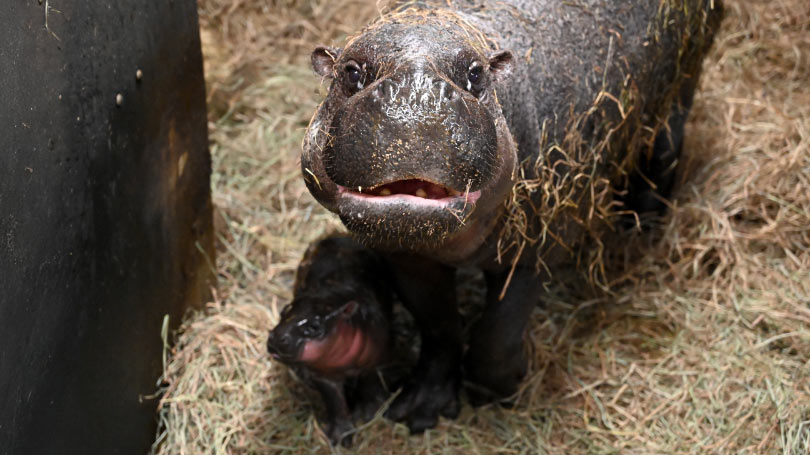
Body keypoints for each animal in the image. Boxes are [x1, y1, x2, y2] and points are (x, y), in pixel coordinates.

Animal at [266, 235, 392, 448]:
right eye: (284, 310)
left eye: (315, 326)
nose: (275, 337)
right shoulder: (322, 374)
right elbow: (335, 401)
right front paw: (339, 438)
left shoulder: (375, 358)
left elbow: (370, 383)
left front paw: (369, 414)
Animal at [298, 0, 720, 434]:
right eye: (350, 72)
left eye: (475, 74)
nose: (414, 97)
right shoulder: (407, 257)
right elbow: (438, 326)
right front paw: (420, 412)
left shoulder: (533, 251)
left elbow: (497, 336)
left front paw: (504, 392)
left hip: (680, 86)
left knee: (664, 148)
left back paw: (639, 228)